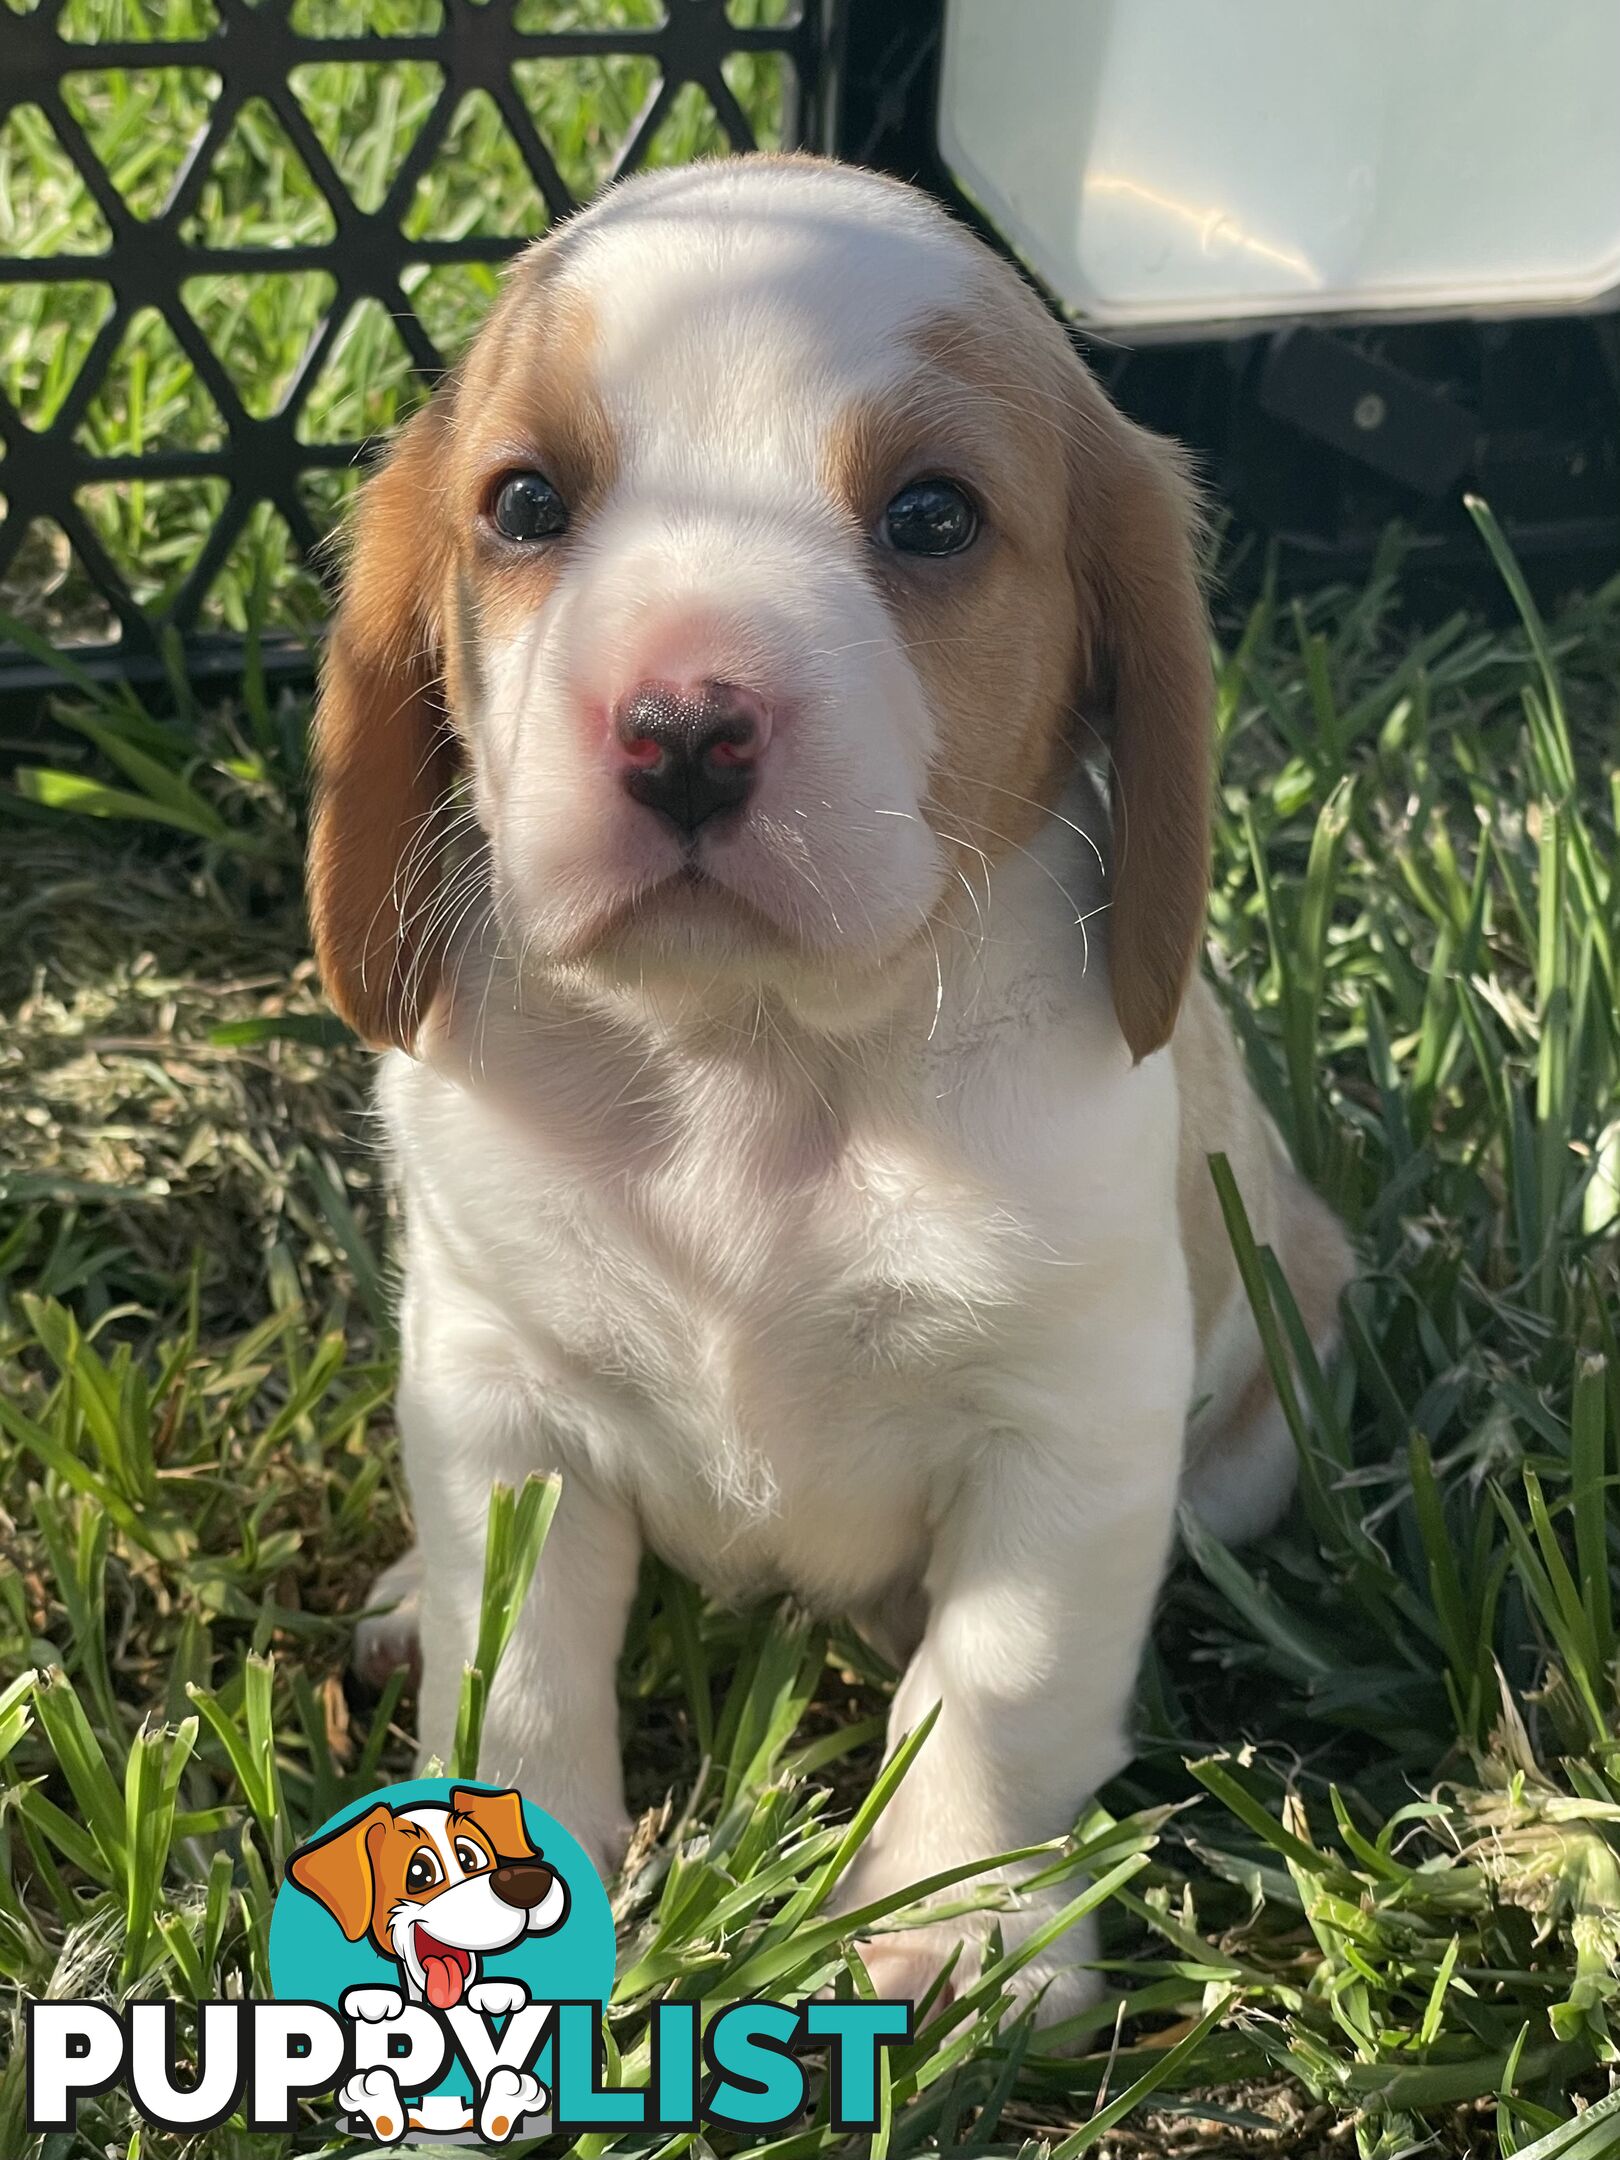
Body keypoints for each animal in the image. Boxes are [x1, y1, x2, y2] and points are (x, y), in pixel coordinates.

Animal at [306, 156, 1356, 2021]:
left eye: (932, 517)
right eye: (526, 503)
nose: (681, 727)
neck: (755, 1064)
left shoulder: (1069, 1439)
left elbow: (1000, 1691)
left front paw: (967, 1931)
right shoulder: (500, 1399)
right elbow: (519, 1677)